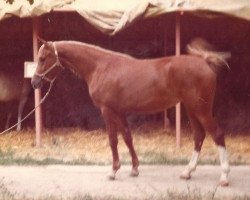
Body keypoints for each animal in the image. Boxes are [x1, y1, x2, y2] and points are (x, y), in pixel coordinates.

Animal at [32, 38, 231, 187]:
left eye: (43, 58)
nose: (34, 82)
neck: (101, 67)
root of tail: (204, 61)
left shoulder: (107, 111)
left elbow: (113, 140)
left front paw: (113, 171)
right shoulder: (120, 112)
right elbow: (127, 137)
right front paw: (135, 169)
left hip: (201, 109)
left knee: (217, 134)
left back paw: (224, 177)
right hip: (191, 109)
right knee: (199, 136)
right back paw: (187, 172)